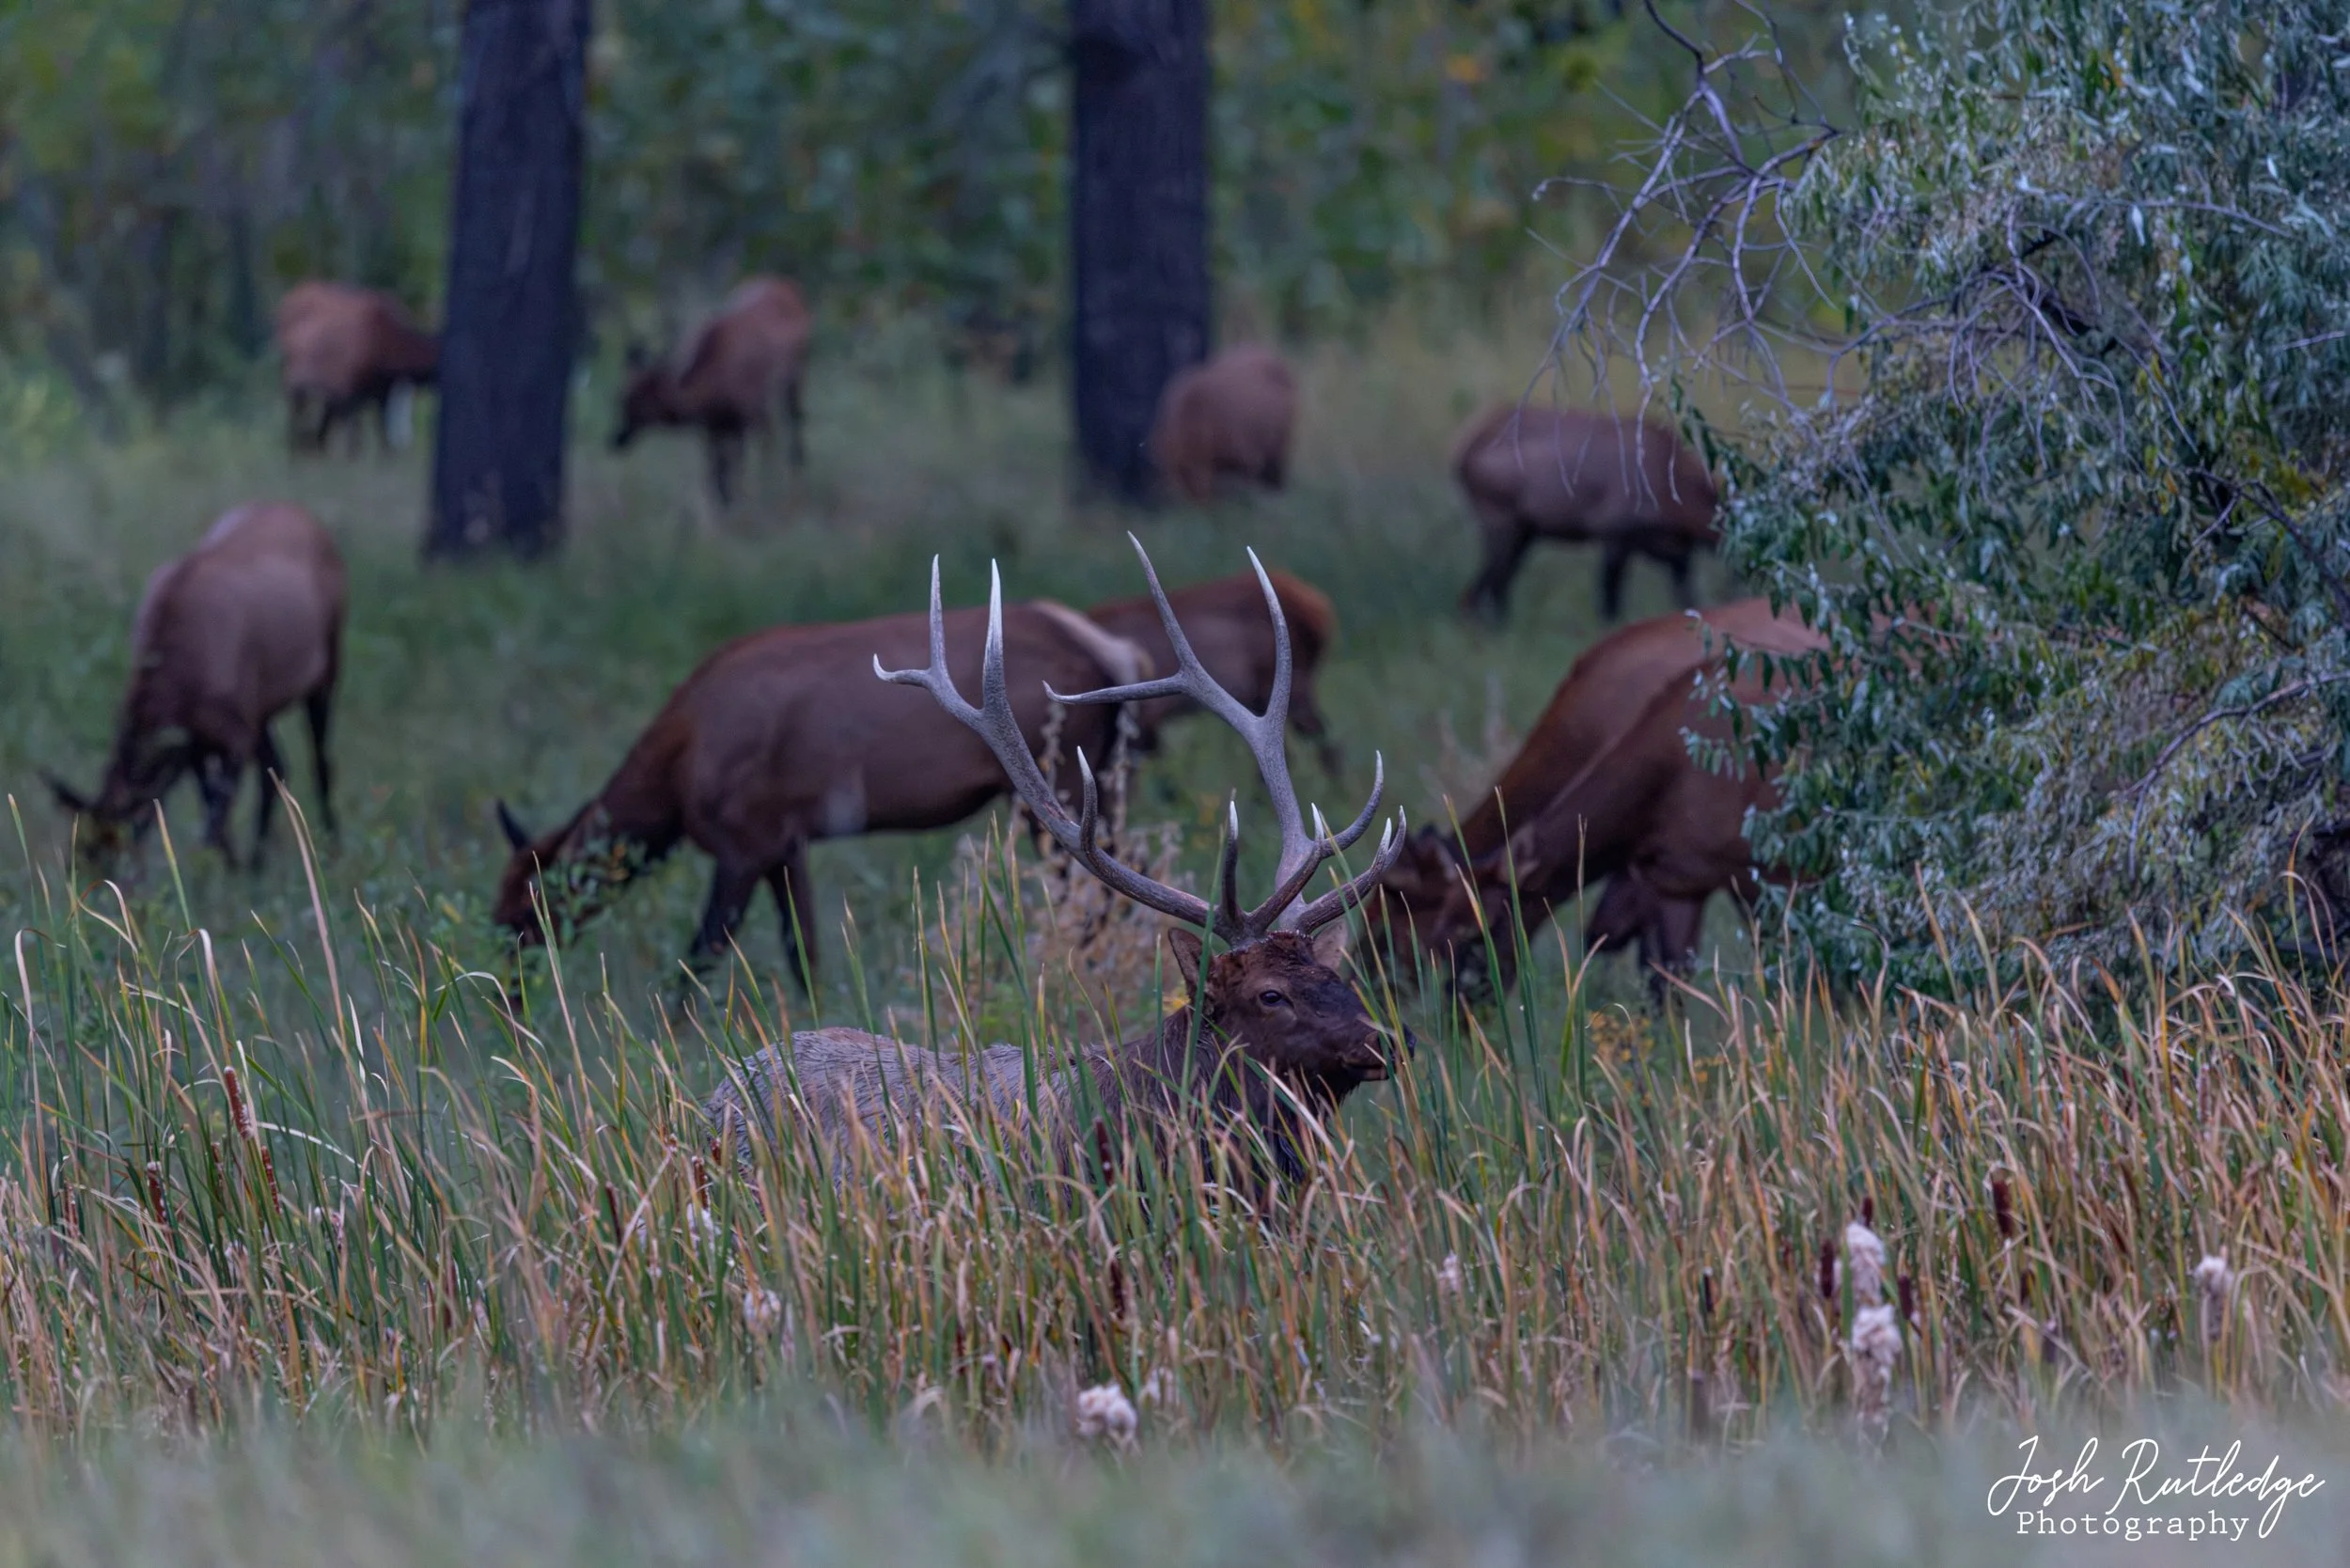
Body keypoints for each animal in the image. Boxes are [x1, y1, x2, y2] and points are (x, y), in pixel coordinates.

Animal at [46, 502, 345, 870]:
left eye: (115, 855)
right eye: (76, 853)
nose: (82, 885)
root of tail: (308, 518)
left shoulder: (232, 737)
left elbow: (211, 824)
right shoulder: (198, 741)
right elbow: (207, 809)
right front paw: (231, 867)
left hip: (327, 662)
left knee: (320, 761)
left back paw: (331, 847)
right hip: (259, 707)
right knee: (276, 766)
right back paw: (258, 864)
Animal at [276, 282, 439, 455]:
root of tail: (287, 301)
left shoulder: (381, 391)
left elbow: (381, 435)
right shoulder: (351, 389)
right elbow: (356, 438)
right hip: (295, 378)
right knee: (296, 415)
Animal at [489, 598, 1150, 993]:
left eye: (525, 914)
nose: (508, 995)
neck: (674, 784)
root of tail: (1114, 654)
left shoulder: (745, 840)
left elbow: (700, 958)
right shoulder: (786, 844)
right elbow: (803, 954)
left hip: (1056, 780)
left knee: (1099, 891)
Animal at [611, 277, 813, 505]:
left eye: (641, 400)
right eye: (618, 398)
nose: (616, 439)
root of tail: (788, 285)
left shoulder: (753, 412)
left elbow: (755, 460)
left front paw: (765, 499)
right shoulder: (714, 425)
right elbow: (717, 477)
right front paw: (729, 506)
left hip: (797, 374)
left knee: (793, 426)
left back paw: (795, 487)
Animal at [1453, 405, 1719, 623]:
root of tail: (1461, 451)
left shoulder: (1669, 548)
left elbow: (1687, 598)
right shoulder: (1614, 535)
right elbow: (1609, 602)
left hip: (1524, 533)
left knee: (1487, 590)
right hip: (1503, 525)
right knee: (1479, 591)